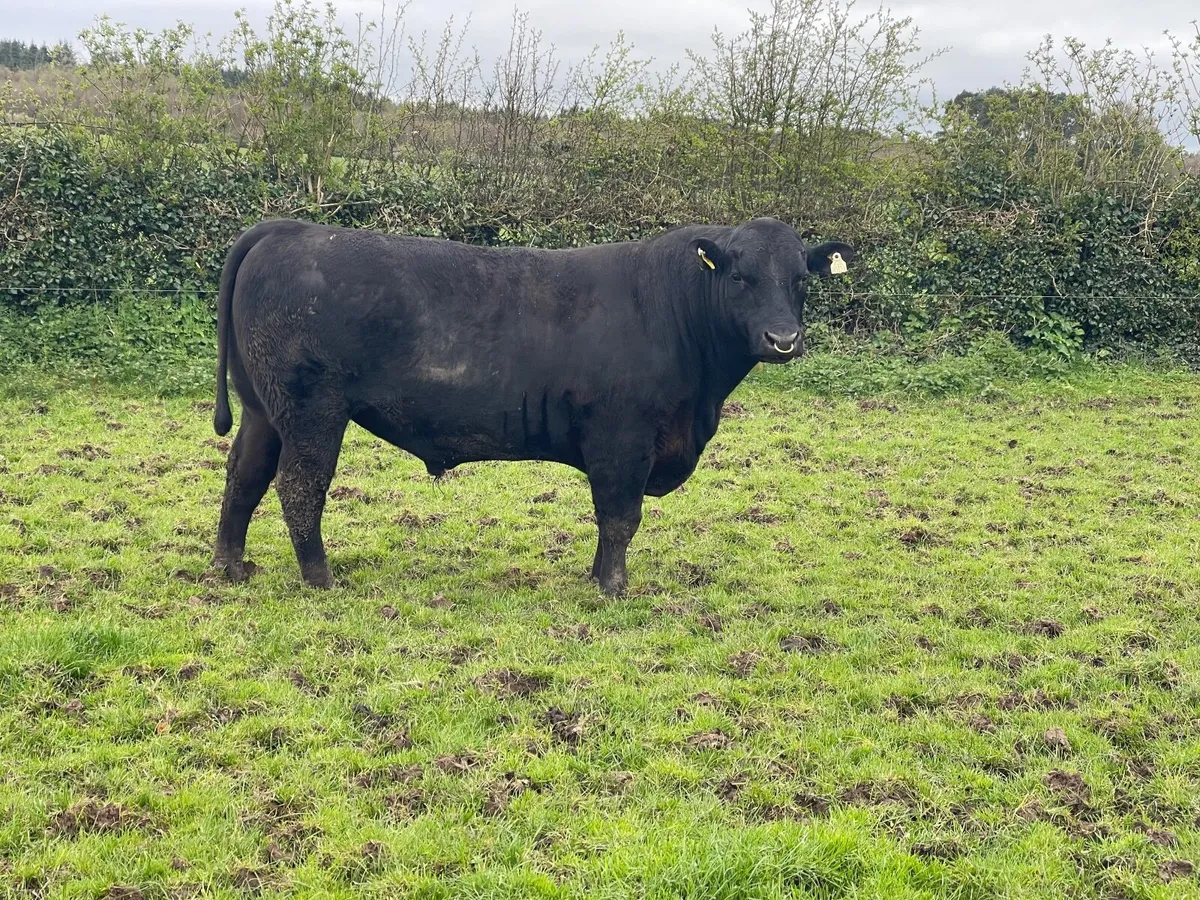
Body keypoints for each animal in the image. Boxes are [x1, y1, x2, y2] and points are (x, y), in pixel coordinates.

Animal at [210, 217, 854, 594]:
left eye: (801, 278)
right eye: (740, 276)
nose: (783, 340)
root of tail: (291, 229)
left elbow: (609, 522)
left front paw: (596, 576)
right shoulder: (622, 439)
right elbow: (620, 518)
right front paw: (614, 588)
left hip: (263, 408)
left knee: (244, 475)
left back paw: (231, 567)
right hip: (312, 409)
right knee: (300, 486)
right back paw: (321, 578)